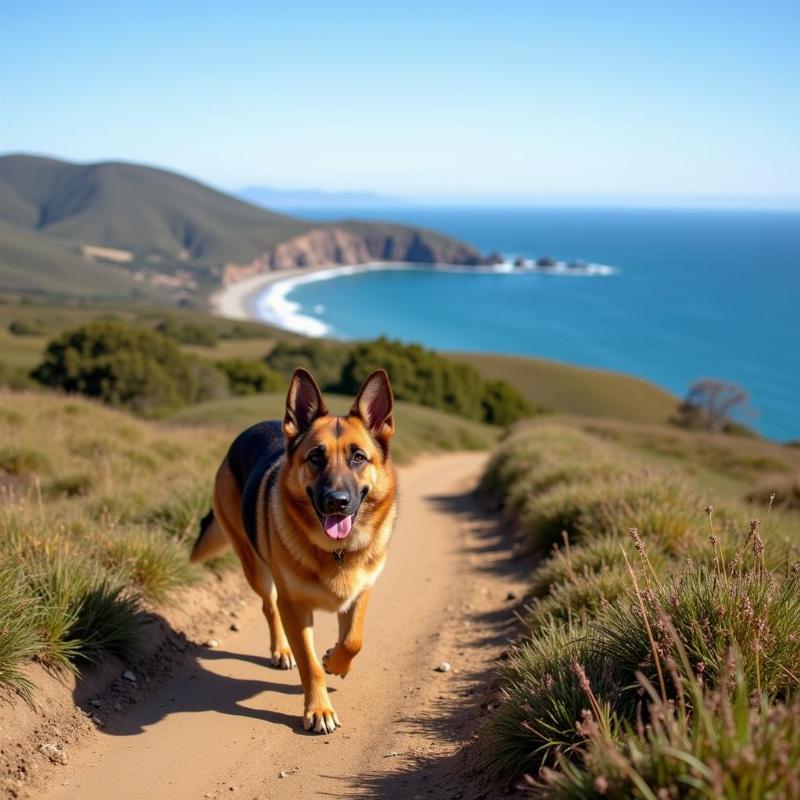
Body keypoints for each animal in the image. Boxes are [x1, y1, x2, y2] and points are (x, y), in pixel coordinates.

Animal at [188, 368, 400, 732]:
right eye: (316, 457)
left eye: (358, 457)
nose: (337, 502)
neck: (336, 552)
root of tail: (251, 429)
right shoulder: (296, 608)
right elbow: (309, 664)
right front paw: (319, 710)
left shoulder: (361, 592)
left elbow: (353, 641)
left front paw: (337, 662)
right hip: (255, 567)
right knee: (268, 606)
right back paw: (282, 650)